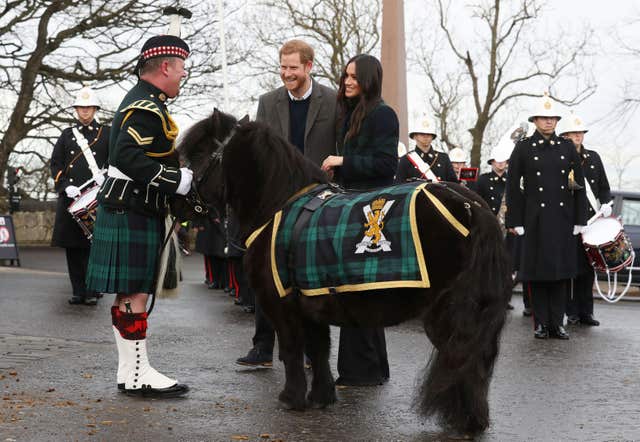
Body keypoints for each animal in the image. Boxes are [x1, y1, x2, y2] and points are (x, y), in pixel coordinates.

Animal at [179, 109, 510, 436]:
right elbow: (319, 349)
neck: (278, 206)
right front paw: (321, 396)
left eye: (199, 153)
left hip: (445, 312)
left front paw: (292, 398)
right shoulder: (311, 301)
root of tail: (471, 206)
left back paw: (465, 420)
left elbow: (291, 348)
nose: (182, 201)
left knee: (463, 358)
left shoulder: (282, 303)